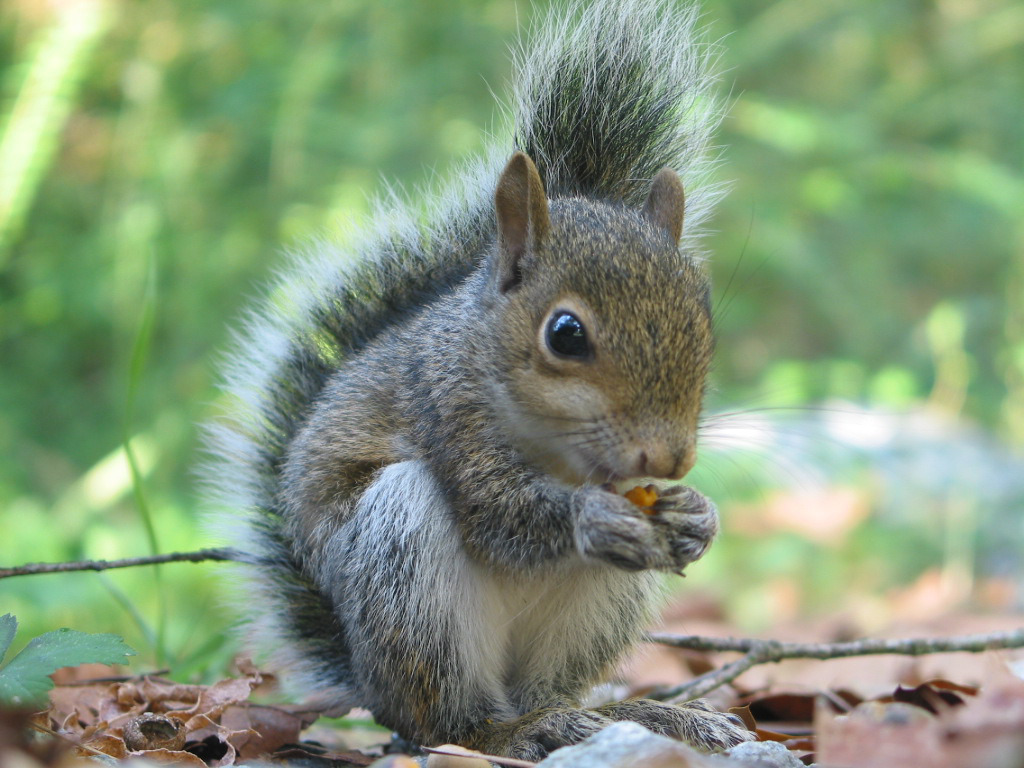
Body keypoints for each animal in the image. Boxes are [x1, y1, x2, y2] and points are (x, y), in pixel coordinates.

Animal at [205, 0, 753, 761]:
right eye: (565, 333)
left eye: (702, 318)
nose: (671, 459)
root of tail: (372, 687)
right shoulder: (447, 409)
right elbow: (498, 513)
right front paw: (590, 517)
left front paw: (698, 514)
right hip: (402, 565)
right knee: (453, 723)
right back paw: (520, 730)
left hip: (599, 609)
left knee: (552, 688)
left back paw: (639, 716)